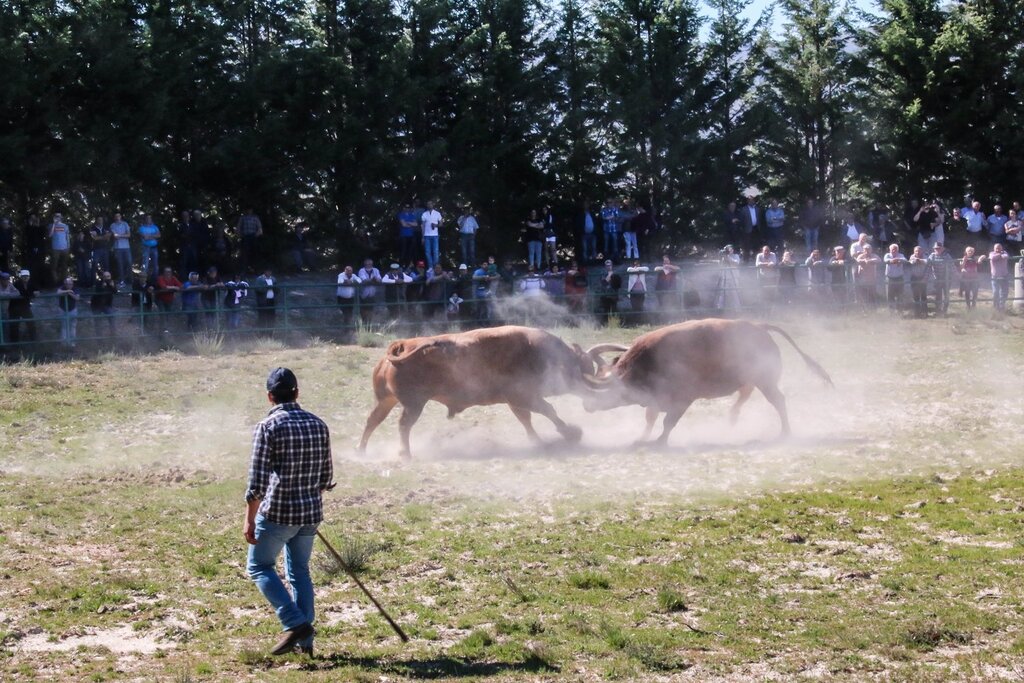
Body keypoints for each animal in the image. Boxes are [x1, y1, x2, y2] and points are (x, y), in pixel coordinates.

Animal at [360, 325, 598, 458]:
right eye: (584, 367)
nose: (592, 401)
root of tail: (402, 345)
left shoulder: (516, 401)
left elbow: (526, 419)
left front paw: (538, 442)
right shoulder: (523, 396)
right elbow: (548, 411)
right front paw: (571, 433)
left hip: (385, 400)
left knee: (373, 420)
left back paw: (361, 451)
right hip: (414, 405)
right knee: (403, 425)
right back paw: (405, 453)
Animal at [585, 319, 831, 446]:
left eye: (604, 391)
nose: (587, 405)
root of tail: (760, 327)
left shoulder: (683, 400)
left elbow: (668, 422)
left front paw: (659, 441)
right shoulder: (656, 400)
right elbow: (651, 419)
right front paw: (642, 438)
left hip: (765, 383)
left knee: (778, 401)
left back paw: (785, 434)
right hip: (752, 381)